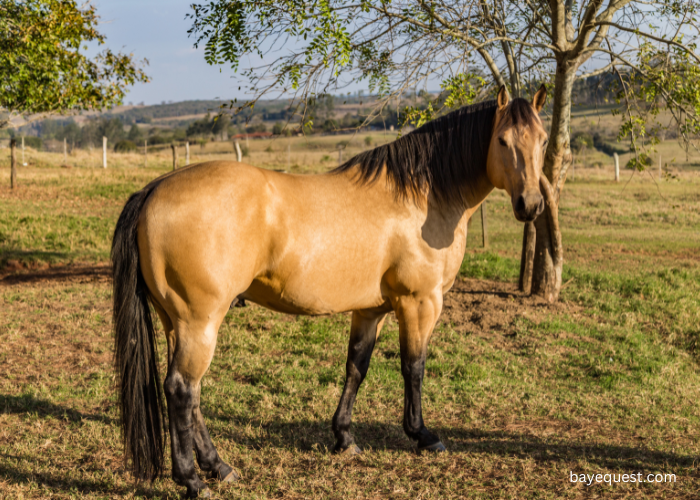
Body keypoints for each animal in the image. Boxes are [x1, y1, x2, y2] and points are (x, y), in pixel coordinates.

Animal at [110, 86, 548, 496]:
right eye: (503, 140)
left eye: (542, 140)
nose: (531, 205)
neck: (422, 197)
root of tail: (154, 190)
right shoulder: (420, 303)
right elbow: (414, 367)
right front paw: (423, 435)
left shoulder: (370, 310)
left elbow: (356, 367)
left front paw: (344, 437)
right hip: (199, 322)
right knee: (182, 390)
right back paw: (192, 480)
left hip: (177, 323)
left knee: (191, 394)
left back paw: (219, 467)